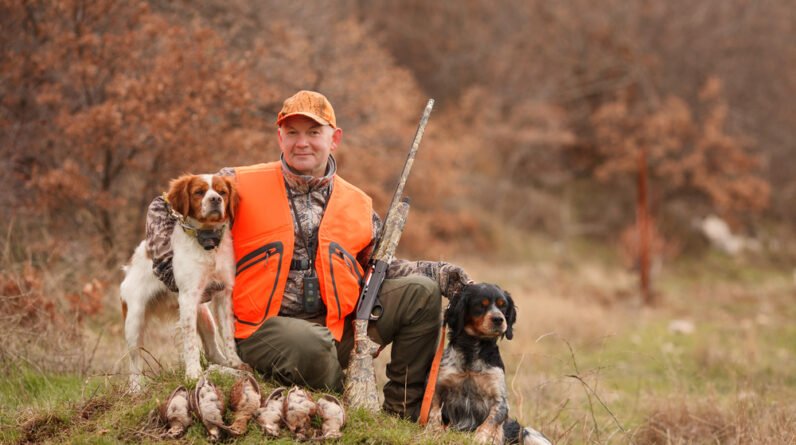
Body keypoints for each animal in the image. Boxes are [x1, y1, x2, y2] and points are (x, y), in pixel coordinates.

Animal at [119, 173, 244, 388]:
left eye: (222, 192)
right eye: (199, 192)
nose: (215, 200)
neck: (208, 243)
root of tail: (132, 262)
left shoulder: (223, 293)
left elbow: (228, 333)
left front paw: (235, 362)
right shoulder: (188, 297)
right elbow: (190, 342)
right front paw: (193, 374)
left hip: (204, 315)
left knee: (211, 349)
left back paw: (223, 363)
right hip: (134, 321)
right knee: (134, 361)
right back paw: (136, 388)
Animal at [426, 282, 552, 442]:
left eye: (503, 305)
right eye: (481, 305)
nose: (499, 319)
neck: (472, 351)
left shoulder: (500, 401)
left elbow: (488, 424)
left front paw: (479, 439)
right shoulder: (437, 387)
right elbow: (434, 412)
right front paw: (435, 431)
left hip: (528, 433)